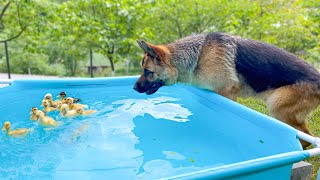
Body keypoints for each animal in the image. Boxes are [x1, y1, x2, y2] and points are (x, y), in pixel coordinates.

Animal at [133, 32, 320, 149]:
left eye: (147, 72)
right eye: (142, 70)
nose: (134, 88)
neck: (197, 57)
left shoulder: (227, 92)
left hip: (276, 105)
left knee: (306, 136)